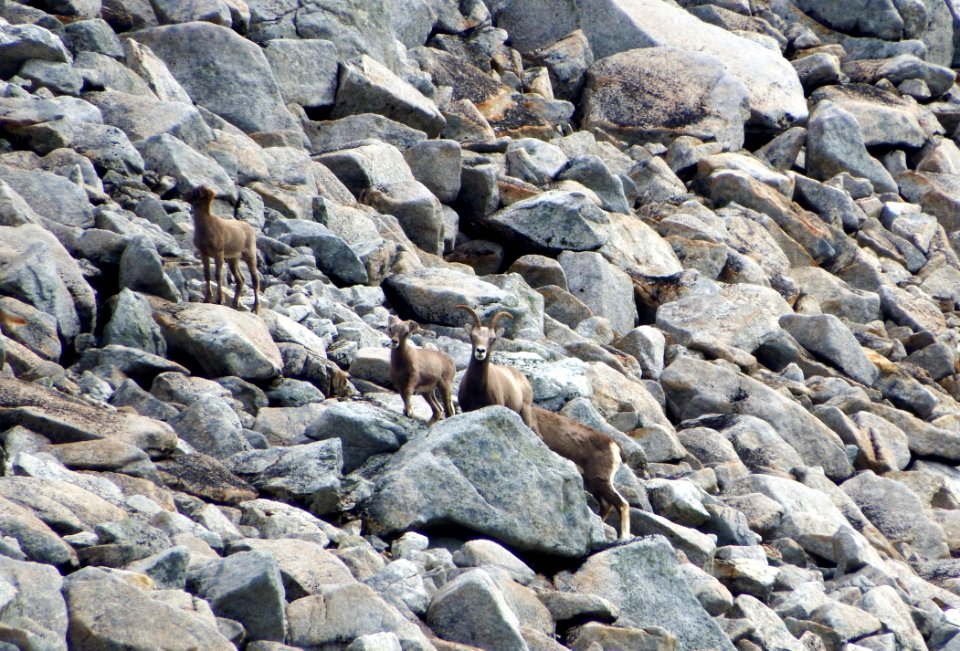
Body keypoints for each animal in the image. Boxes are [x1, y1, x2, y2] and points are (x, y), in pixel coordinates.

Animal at [528, 408, 632, 540]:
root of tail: (615, 446)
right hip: (591, 483)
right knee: (607, 504)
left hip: (598, 478)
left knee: (622, 504)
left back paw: (623, 536)